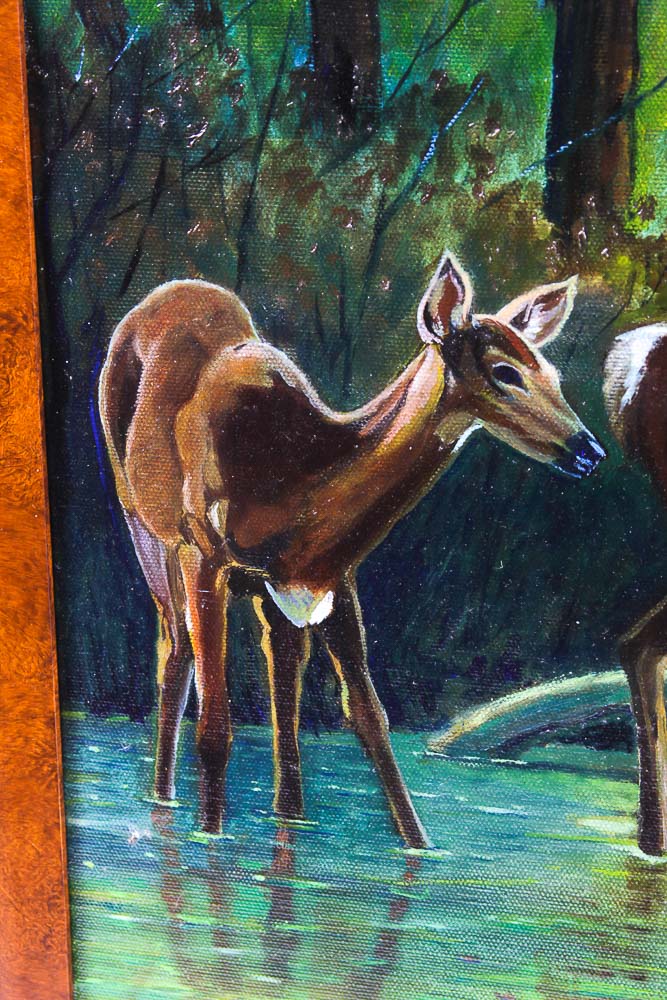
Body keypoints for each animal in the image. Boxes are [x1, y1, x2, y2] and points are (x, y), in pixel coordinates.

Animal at [98, 251, 605, 848]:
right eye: (505, 371)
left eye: (552, 373)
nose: (589, 451)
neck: (295, 488)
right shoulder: (205, 554)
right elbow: (217, 727)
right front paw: (211, 841)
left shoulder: (333, 580)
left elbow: (368, 717)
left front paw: (421, 848)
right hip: (142, 522)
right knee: (174, 656)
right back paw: (163, 802)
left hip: (265, 595)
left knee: (281, 693)